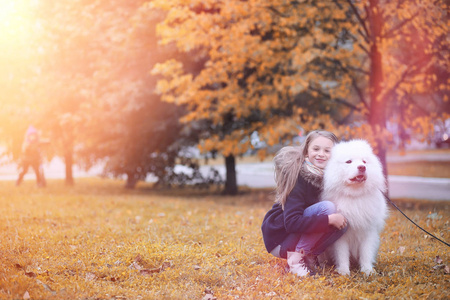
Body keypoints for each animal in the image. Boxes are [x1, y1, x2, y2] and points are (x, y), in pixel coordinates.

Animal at [322, 139, 388, 276]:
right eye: (349, 161)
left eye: (364, 161)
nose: (362, 167)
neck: (354, 196)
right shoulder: (341, 234)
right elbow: (342, 254)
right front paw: (344, 271)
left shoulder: (368, 231)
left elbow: (366, 253)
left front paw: (367, 270)